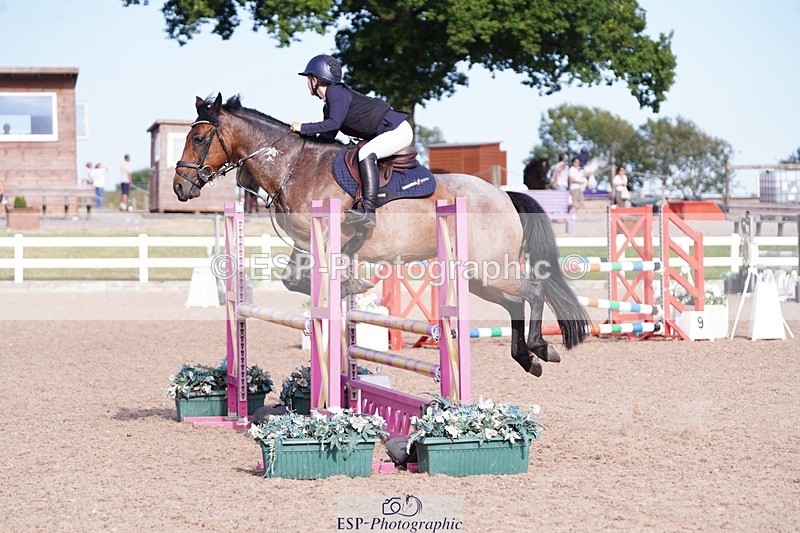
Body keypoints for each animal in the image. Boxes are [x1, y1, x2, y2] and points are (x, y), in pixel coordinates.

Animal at [173, 94, 591, 377]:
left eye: (199, 139)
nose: (180, 187)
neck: (295, 167)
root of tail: (504, 194)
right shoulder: (306, 246)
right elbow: (294, 281)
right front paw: (352, 289)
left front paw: (355, 286)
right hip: (478, 276)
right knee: (515, 302)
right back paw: (529, 358)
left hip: (487, 267)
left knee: (534, 291)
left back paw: (540, 348)